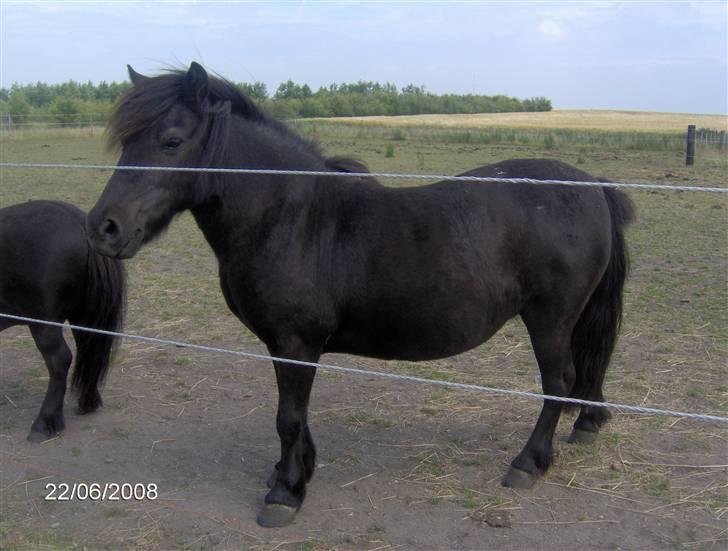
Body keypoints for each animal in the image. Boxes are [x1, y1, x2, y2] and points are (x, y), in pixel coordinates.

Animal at [0, 201, 126, 442]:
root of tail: (78, 221)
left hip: (44, 323)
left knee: (59, 360)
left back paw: (44, 423)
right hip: (83, 317)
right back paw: (87, 402)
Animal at [84, 62, 632, 528]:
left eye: (171, 141)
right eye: (126, 141)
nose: (104, 228)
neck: (290, 218)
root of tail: (590, 185)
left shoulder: (296, 344)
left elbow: (288, 416)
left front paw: (284, 494)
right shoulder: (288, 347)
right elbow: (297, 414)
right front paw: (297, 471)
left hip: (550, 318)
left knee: (558, 382)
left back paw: (527, 464)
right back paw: (586, 424)